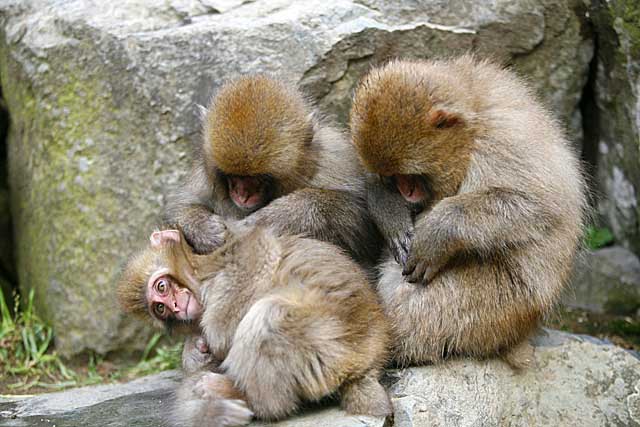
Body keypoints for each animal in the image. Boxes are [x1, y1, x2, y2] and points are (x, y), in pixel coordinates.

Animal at [117, 226, 392, 426]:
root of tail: (369, 359)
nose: (175, 306)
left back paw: (246, 397)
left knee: (268, 318)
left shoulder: (232, 254)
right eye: (159, 308)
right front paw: (194, 350)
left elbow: (259, 253)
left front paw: (214, 336)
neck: (199, 277)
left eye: (161, 286)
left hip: (334, 340)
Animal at [162, 75, 380, 266]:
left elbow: (357, 215)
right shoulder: (204, 176)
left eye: (259, 178)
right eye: (234, 177)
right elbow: (181, 206)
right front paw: (204, 229)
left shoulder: (333, 159)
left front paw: (280, 216)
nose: (242, 194)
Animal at [348, 55, 588, 370]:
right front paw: (388, 209)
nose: (405, 192)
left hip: (501, 305)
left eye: (409, 176)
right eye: (393, 177)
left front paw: (440, 230)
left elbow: (537, 207)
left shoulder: (502, 142)